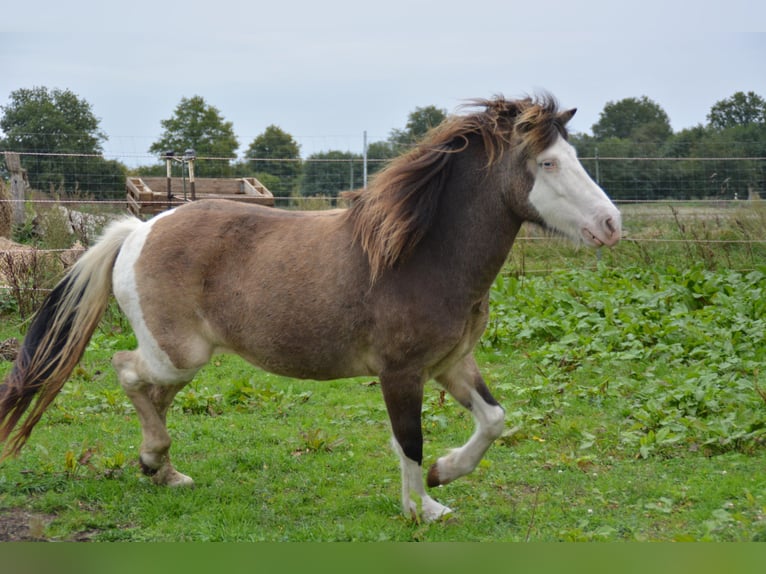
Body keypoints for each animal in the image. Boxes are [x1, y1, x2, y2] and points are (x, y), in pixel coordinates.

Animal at [0, 95, 621, 522]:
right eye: (548, 164)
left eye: (570, 156)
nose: (611, 225)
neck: (422, 253)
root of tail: (138, 229)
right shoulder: (401, 373)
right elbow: (409, 439)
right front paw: (420, 510)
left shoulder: (449, 364)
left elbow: (493, 420)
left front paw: (444, 478)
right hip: (177, 353)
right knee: (127, 372)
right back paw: (156, 461)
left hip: (183, 359)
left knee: (153, 395)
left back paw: (164, 472)